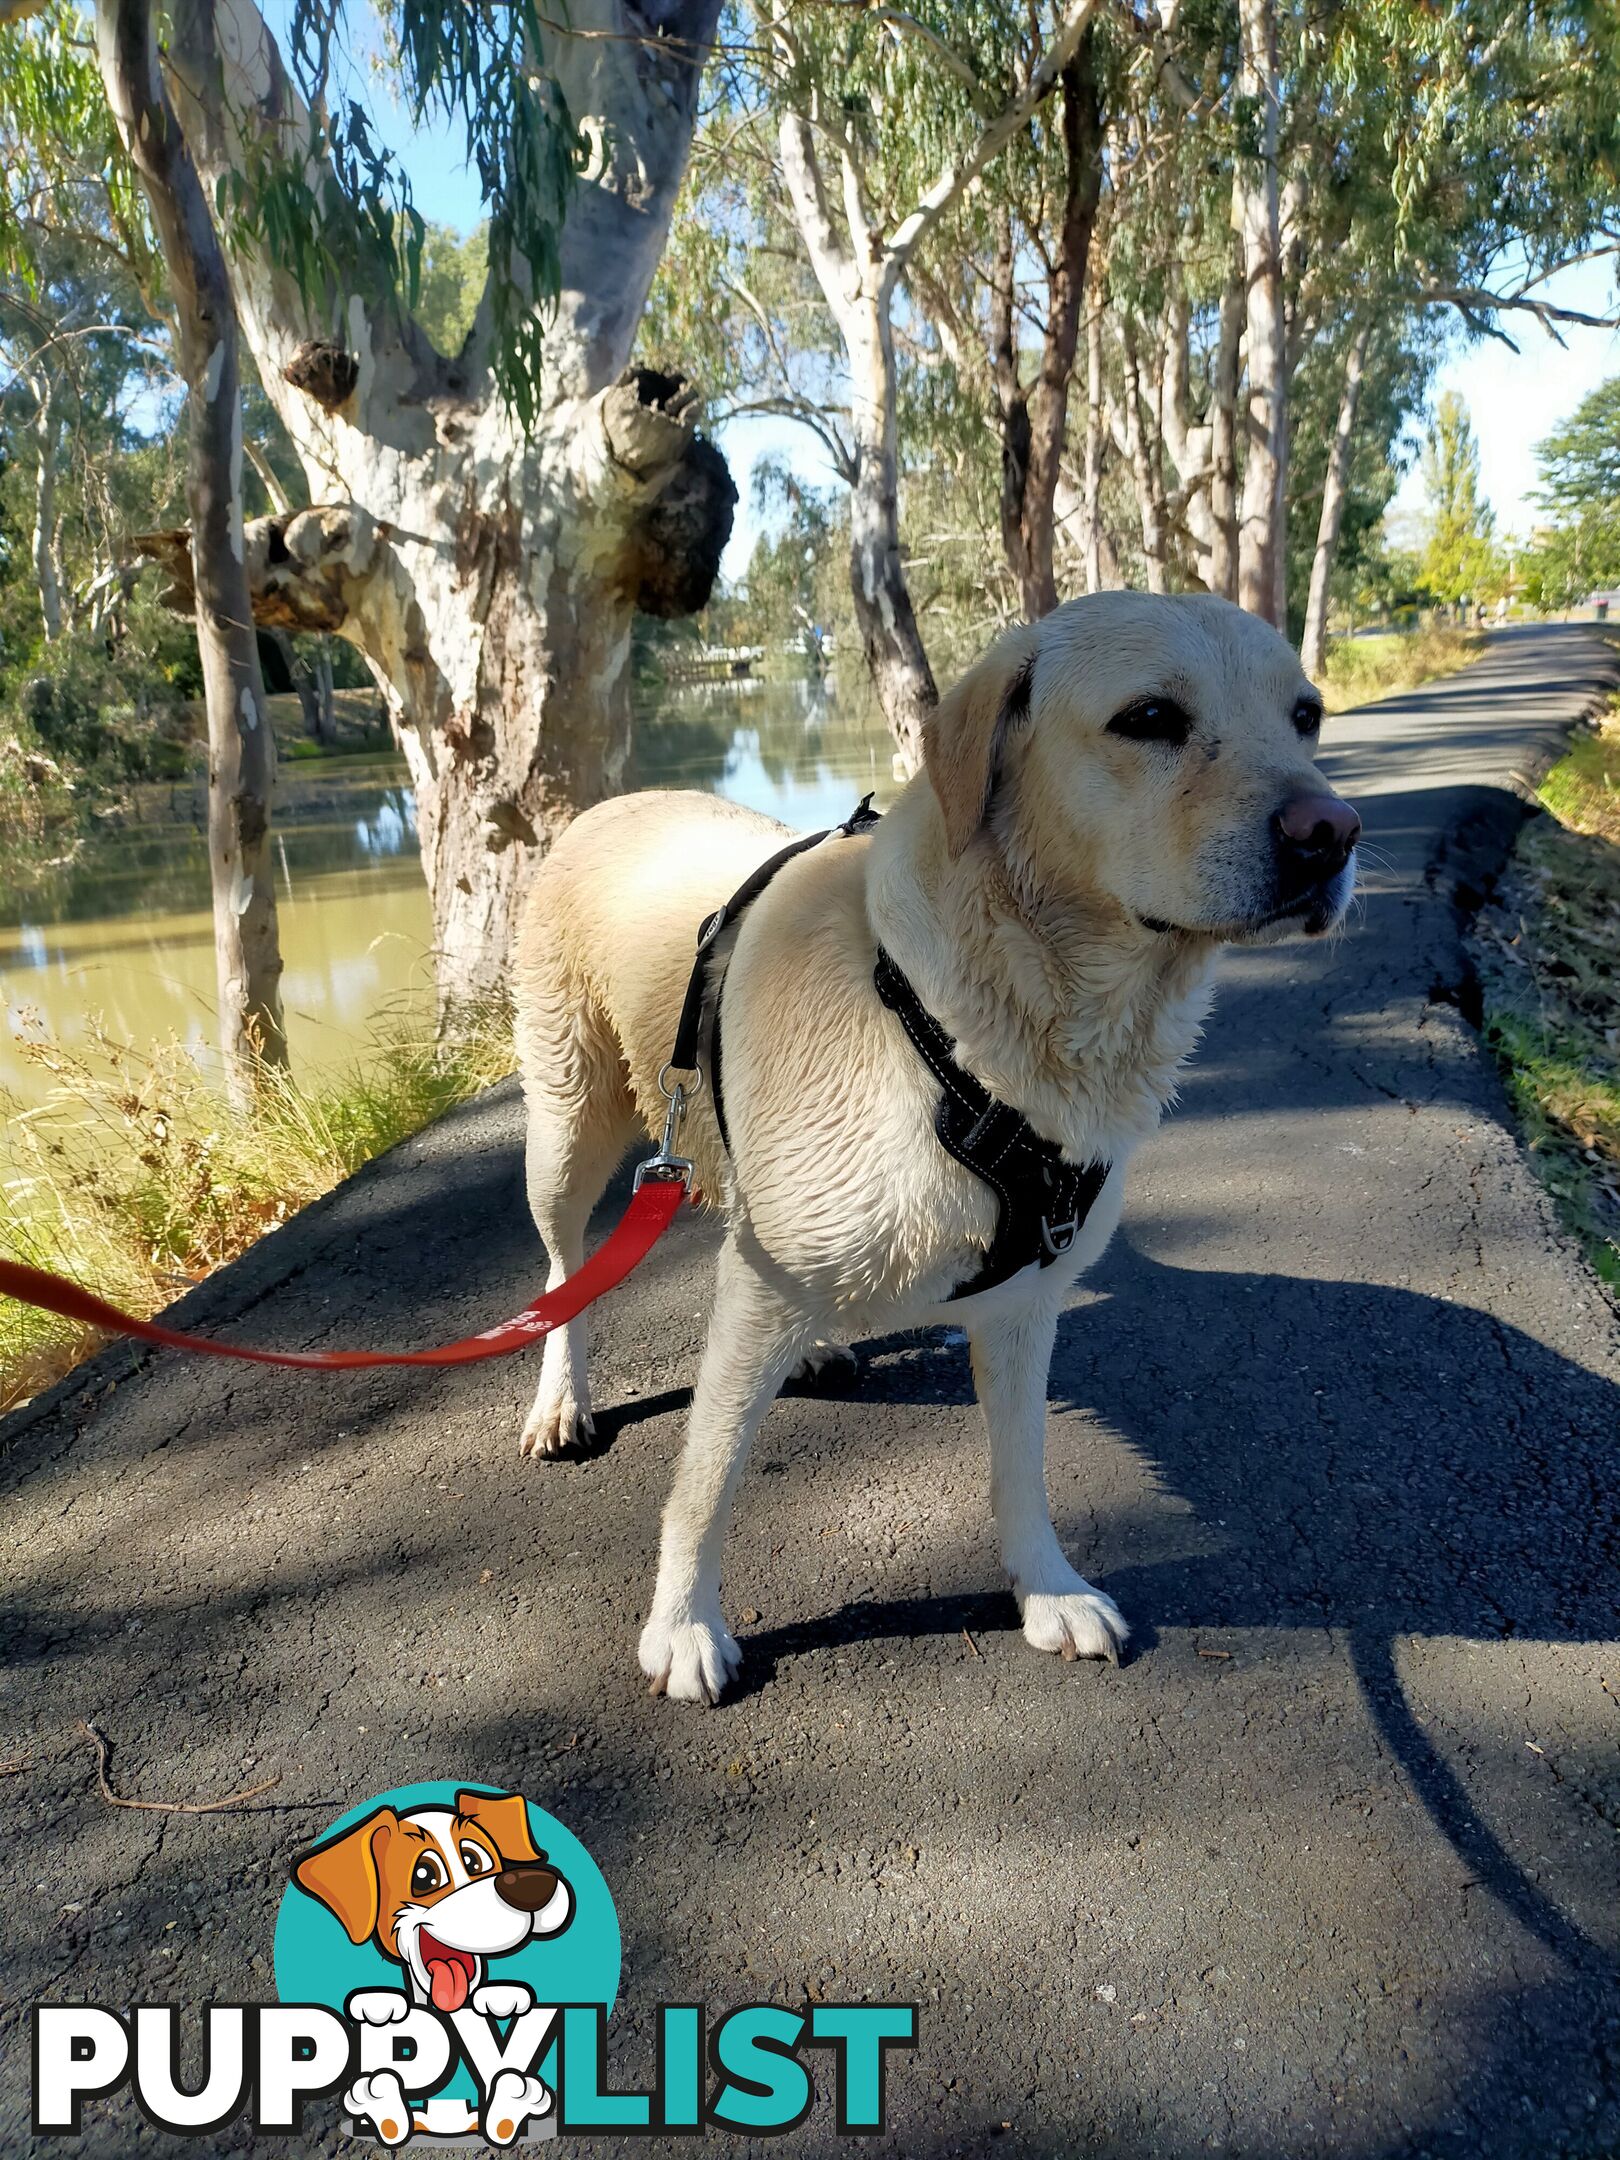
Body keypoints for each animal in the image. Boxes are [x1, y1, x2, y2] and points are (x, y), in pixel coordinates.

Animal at [514, 591, 1365, 1702]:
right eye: (1149, 719)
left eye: (1307, 715)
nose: (1333, 832)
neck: (957, 1034)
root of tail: (611, 803)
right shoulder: (753, 1309)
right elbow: (705, 1477)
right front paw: (685, 1624)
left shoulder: (1023, 1304)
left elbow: (1023, 1468)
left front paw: (1046, 1589)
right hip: (571, 1130)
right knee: (564, 1270)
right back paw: (560, 1399)